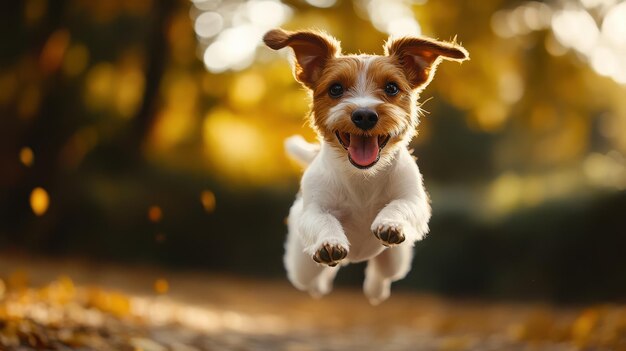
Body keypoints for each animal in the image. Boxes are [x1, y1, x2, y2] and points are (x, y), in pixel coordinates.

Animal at [260, 28, 466, 306]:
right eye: (336, 89)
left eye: (391, 87)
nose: (365, 115)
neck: (362, 177)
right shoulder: (313, 209)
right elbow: (322, 219)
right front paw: (329, 242)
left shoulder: (414, 199)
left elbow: (401, 205)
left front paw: (390, 223)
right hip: (301, 265)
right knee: (313, 278)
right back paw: (322, 284)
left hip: (396, 259)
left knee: (382, 274)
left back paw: (375, 290)